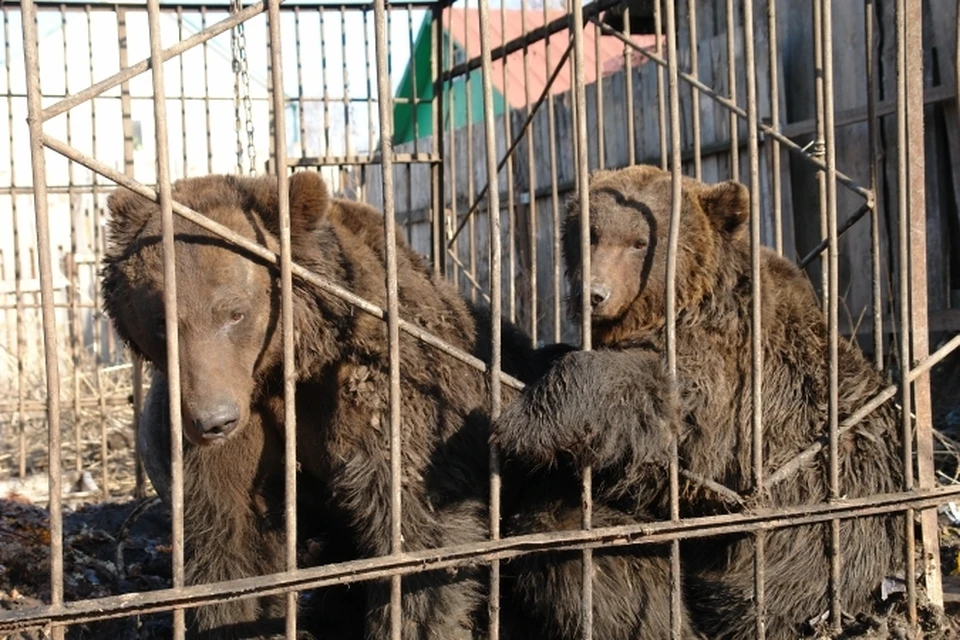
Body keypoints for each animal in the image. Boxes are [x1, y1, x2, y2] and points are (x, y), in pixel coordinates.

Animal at [103, 171, 568, 640]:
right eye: (161, 321)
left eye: (234, 312)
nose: (213, 420)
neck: (285, 366)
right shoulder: (238, 421)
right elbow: (231, 539)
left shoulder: (380, 391)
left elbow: (417, 532)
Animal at [496, 165, 908, 640]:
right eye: (589, 234)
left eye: (639, 242)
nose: (593, 294)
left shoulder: (733, 372)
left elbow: (665, 410)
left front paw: (525, 422)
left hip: (815, 520)